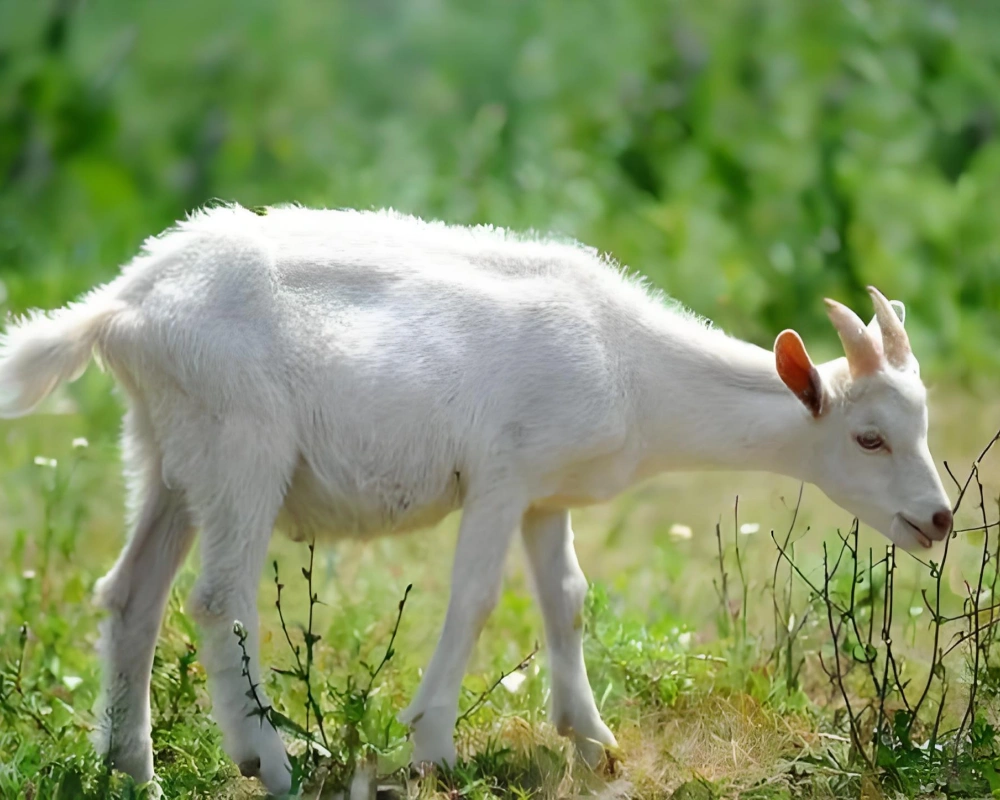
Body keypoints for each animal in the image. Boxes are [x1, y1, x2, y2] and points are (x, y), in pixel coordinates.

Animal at [0, 204, 952, 795]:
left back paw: (134, 770)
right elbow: (475, 597)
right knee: (217, 599)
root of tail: (122, 307)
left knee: (131, 595)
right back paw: (269, 761)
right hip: (240, 443)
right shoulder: (502, 475)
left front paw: (594, 743)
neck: (632, 368)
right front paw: (433, 746)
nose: (939, 519)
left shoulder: (545, 493)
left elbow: (566, 598)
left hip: (165, 450)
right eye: (869, 438)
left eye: (923, 421)